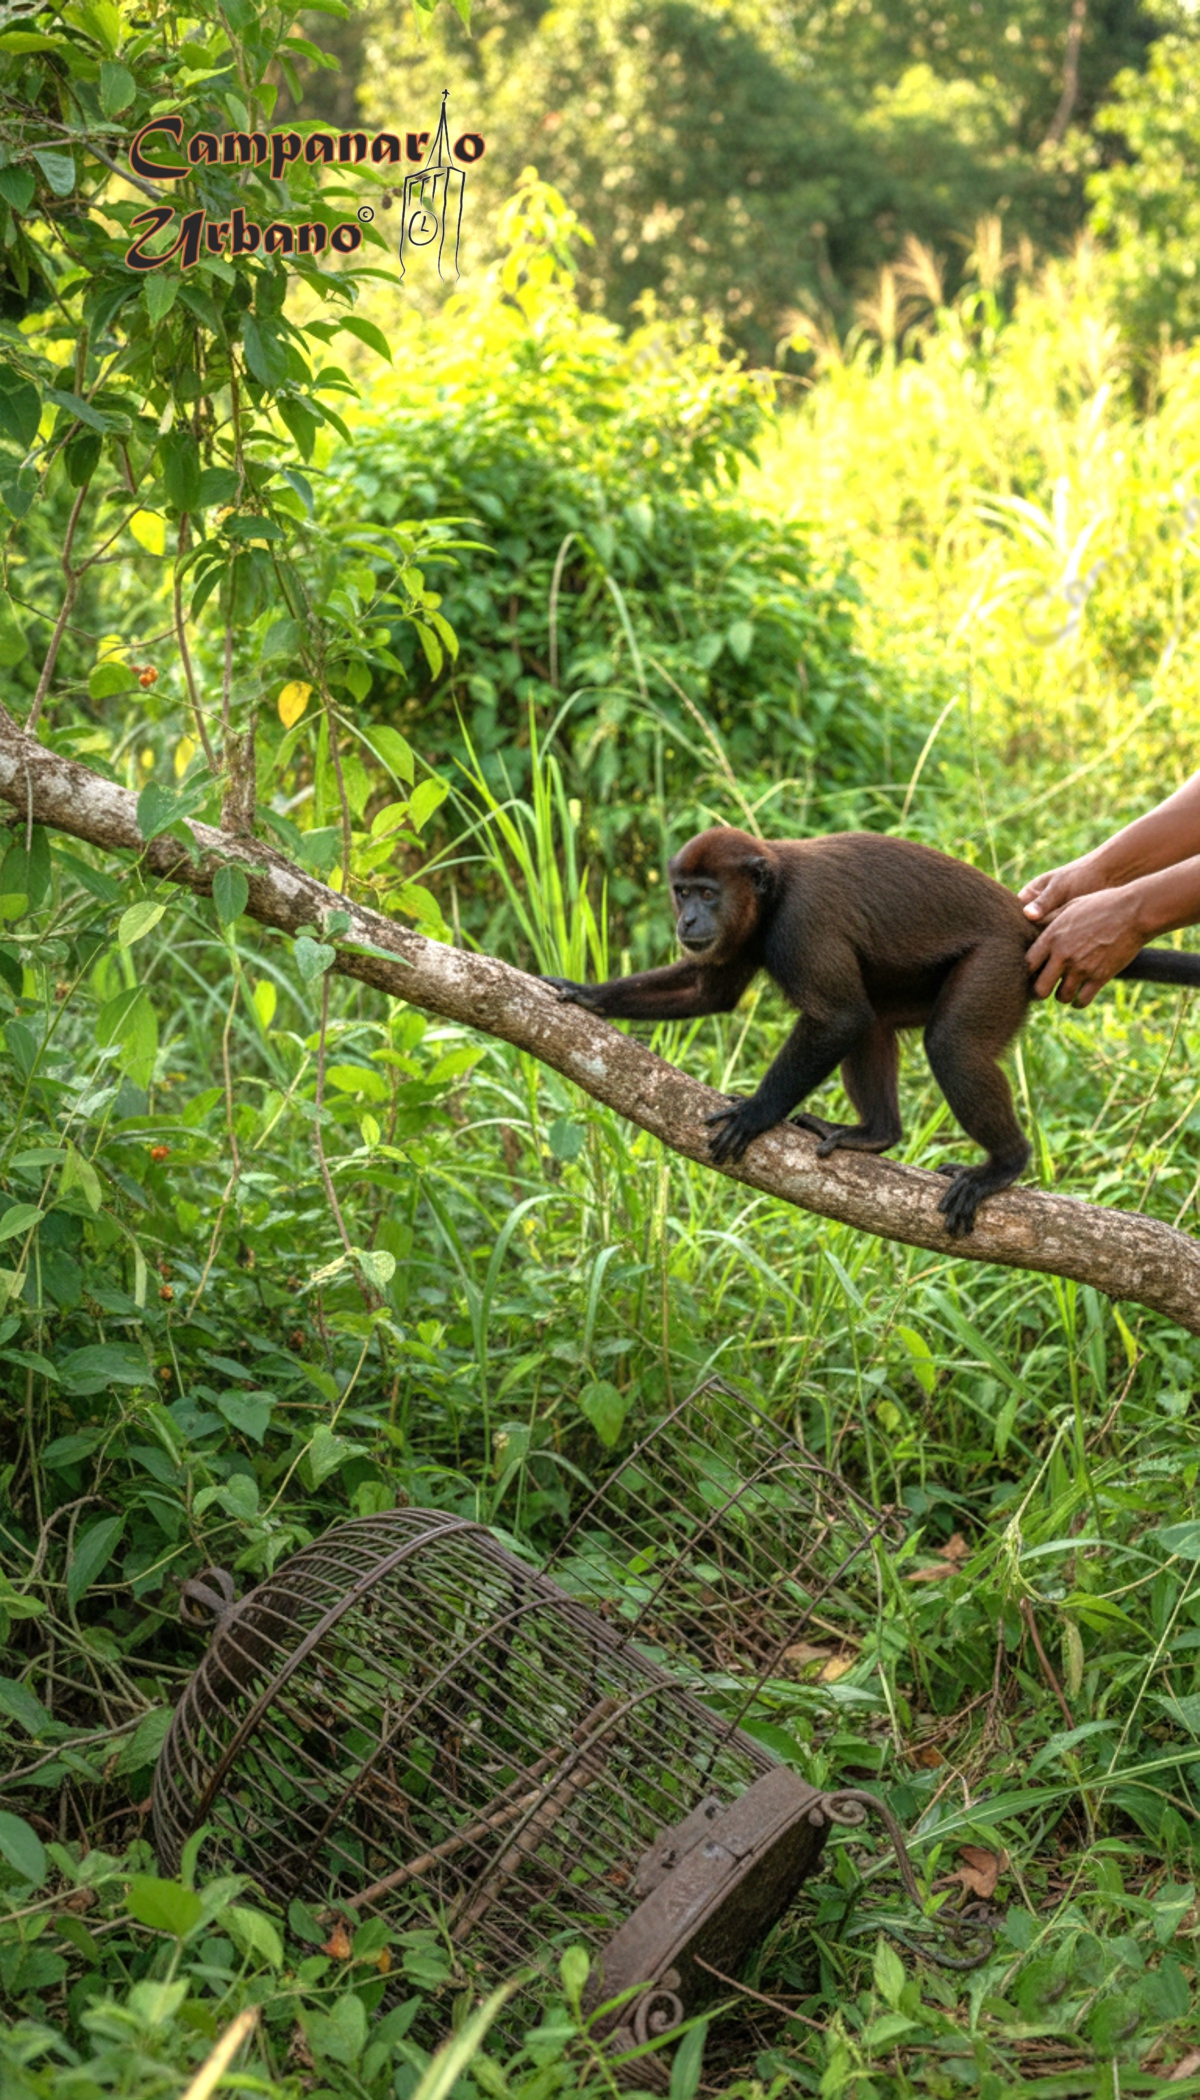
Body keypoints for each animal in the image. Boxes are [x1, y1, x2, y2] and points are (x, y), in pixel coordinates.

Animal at [544, 826, 1200, 1237]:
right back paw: (877, 1134)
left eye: (707, 893)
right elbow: (712, 995)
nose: (687, 920)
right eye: (682, 892)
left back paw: (1004, 1164)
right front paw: (589, 995)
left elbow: (838, 1018)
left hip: (1000, 967)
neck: (772, 891)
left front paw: (756, 1113)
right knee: (879, 1022)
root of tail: (1027, 927)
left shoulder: (802, 920)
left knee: (948, 1044)